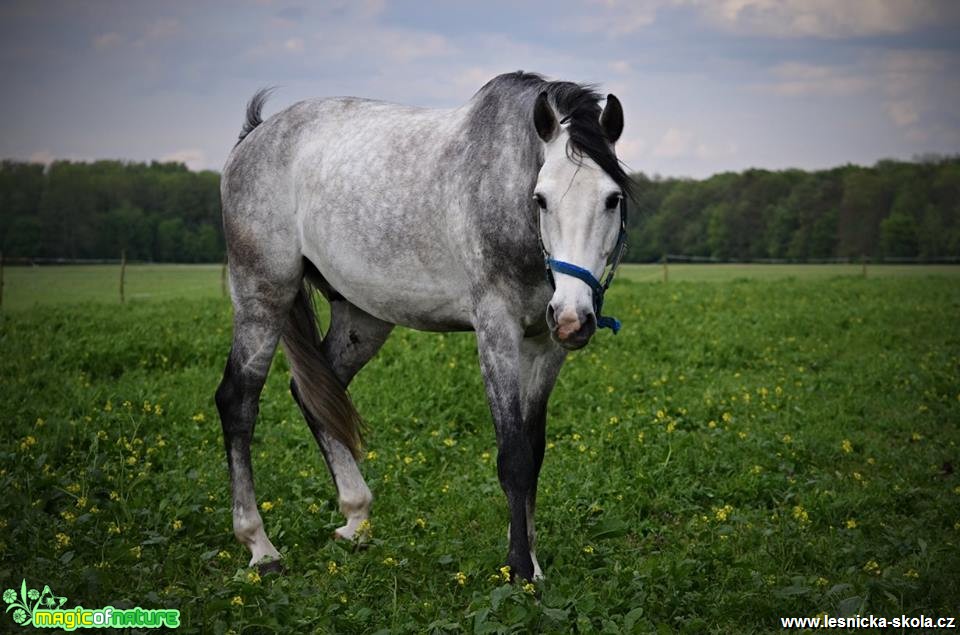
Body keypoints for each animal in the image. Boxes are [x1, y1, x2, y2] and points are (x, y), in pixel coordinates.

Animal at [219, 71, 636, 580]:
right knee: (238, 403)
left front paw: (533, 559)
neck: (502, 187)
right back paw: (260, 546)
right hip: (262, 296)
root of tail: (255, 136)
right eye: (541, 199)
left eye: (612, 199)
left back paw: (356, 517)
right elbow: (513, 456)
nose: (574, 318)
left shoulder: (546, 344)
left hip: (362, 317)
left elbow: (533, 450)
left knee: (314, 393)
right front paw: (519, 570)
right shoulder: (496, 332)